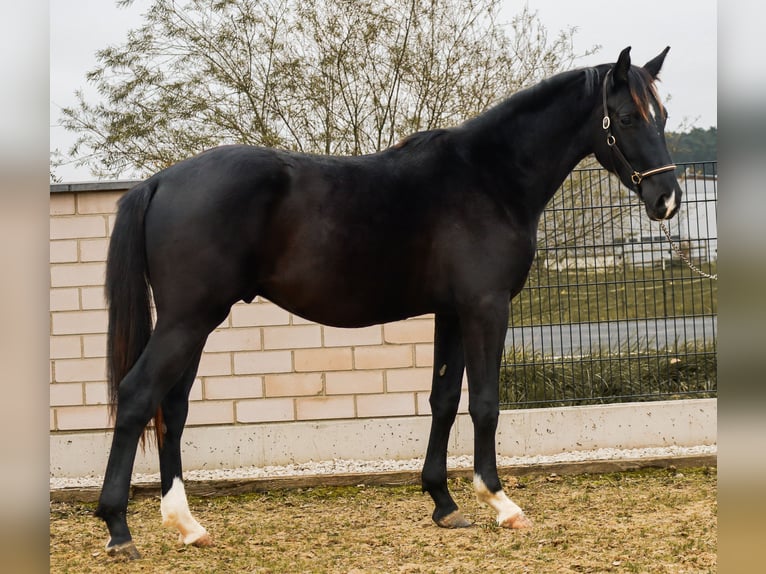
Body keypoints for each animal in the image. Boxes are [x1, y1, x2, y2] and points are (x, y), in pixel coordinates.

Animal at [94, 47, 680, 560]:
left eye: (664, 115)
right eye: (627, 117)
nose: (667, 200)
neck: (488, 178)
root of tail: (160, 180)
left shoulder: (451, 312)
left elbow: (443, 399)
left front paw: (443, 503)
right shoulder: (485, 307)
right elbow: (485, 403)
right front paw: (500, 502)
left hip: (194, 323)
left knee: (172, 408)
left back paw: (186, 525)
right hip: (188, 320)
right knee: (138, 395)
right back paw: (119, 530)